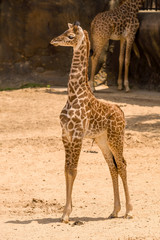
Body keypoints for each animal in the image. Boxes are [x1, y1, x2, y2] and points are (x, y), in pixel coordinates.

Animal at [50, 22, 132, 223]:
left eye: (70, 36)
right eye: (64, 32)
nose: (54, 40)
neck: (73, 95)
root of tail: (121, 112)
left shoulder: (77, 135)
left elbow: (73, 170)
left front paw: (66, 214)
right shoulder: (65, 135)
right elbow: (66, 169)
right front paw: (65, 212)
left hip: (116, 138)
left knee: (123, 164)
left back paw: (129, 211)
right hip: (103, 140)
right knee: (113, 166)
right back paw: (114, 211)